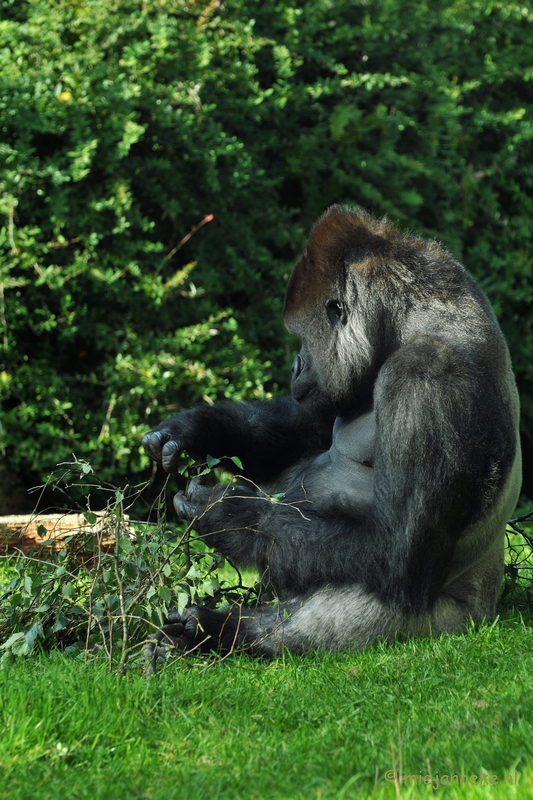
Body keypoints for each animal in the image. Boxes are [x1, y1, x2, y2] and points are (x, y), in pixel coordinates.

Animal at [141, 205, 520, 656]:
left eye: (301, 337)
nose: (295, 364)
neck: (409, 326)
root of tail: (489, 612)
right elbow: (308, 430)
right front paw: (190, 431)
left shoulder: (428, 377)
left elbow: (394, 550)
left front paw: (228, 515)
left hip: (445, 626)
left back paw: (220, 630)